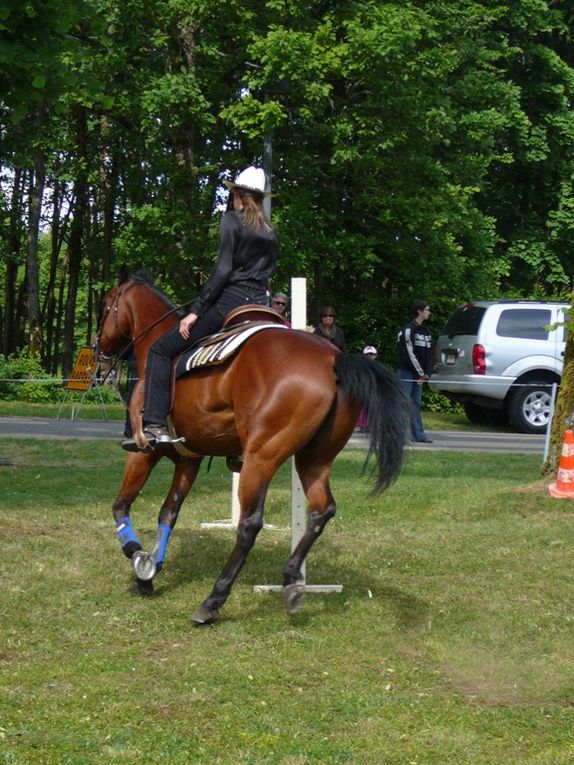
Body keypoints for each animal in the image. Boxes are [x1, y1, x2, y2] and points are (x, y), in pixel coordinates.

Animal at [94, 272, 412, 624]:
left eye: (106, 305)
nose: (98, 347)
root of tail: (333, 358)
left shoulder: (145, 451)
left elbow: (121, 506)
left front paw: (139, 558)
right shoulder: (189, 460)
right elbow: (169, 513)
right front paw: (149, 573)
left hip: (261, 458)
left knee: (249, 525)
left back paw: (213, 601)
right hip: (314, 460)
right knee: (323, 510)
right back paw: (291, 579)